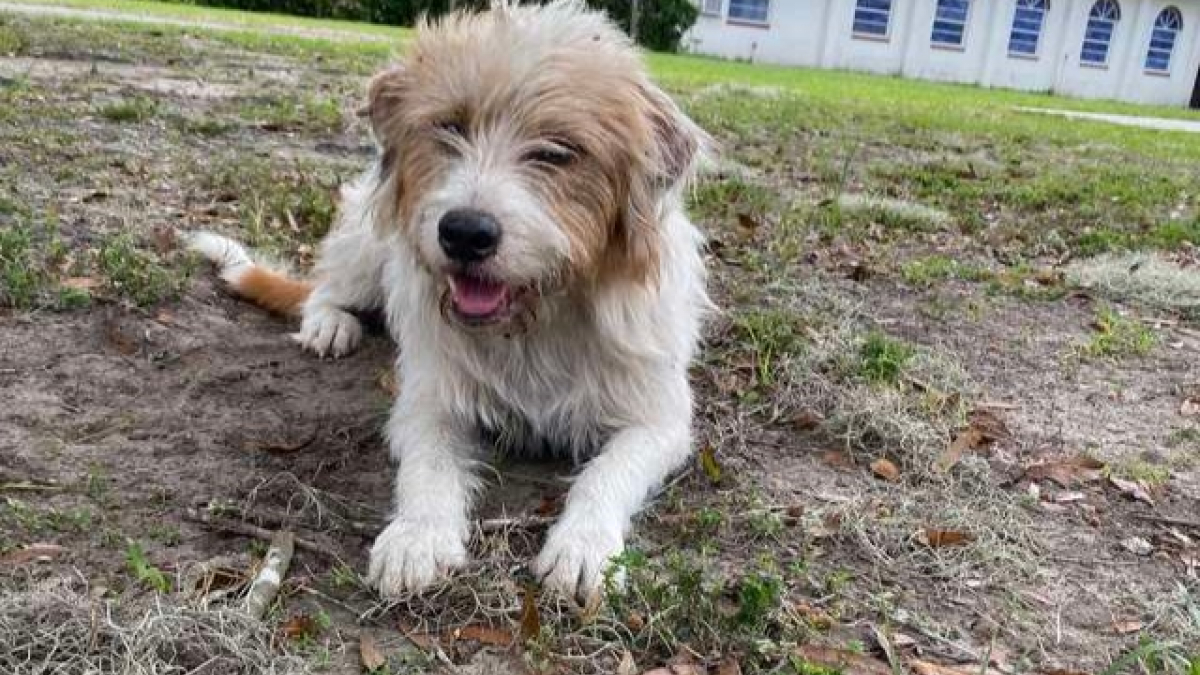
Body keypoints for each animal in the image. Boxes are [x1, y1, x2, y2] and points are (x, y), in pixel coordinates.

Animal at [190, 0, 705, 598]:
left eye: (556, 152)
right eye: (450, 127)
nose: (463, 233)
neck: (535, 321)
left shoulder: (658, 420)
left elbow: (606, 474)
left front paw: (585, 545)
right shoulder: (428, 400)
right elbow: (429, 466)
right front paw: (418, 535)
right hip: (368, 242)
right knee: (325, 289)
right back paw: (330, 324)